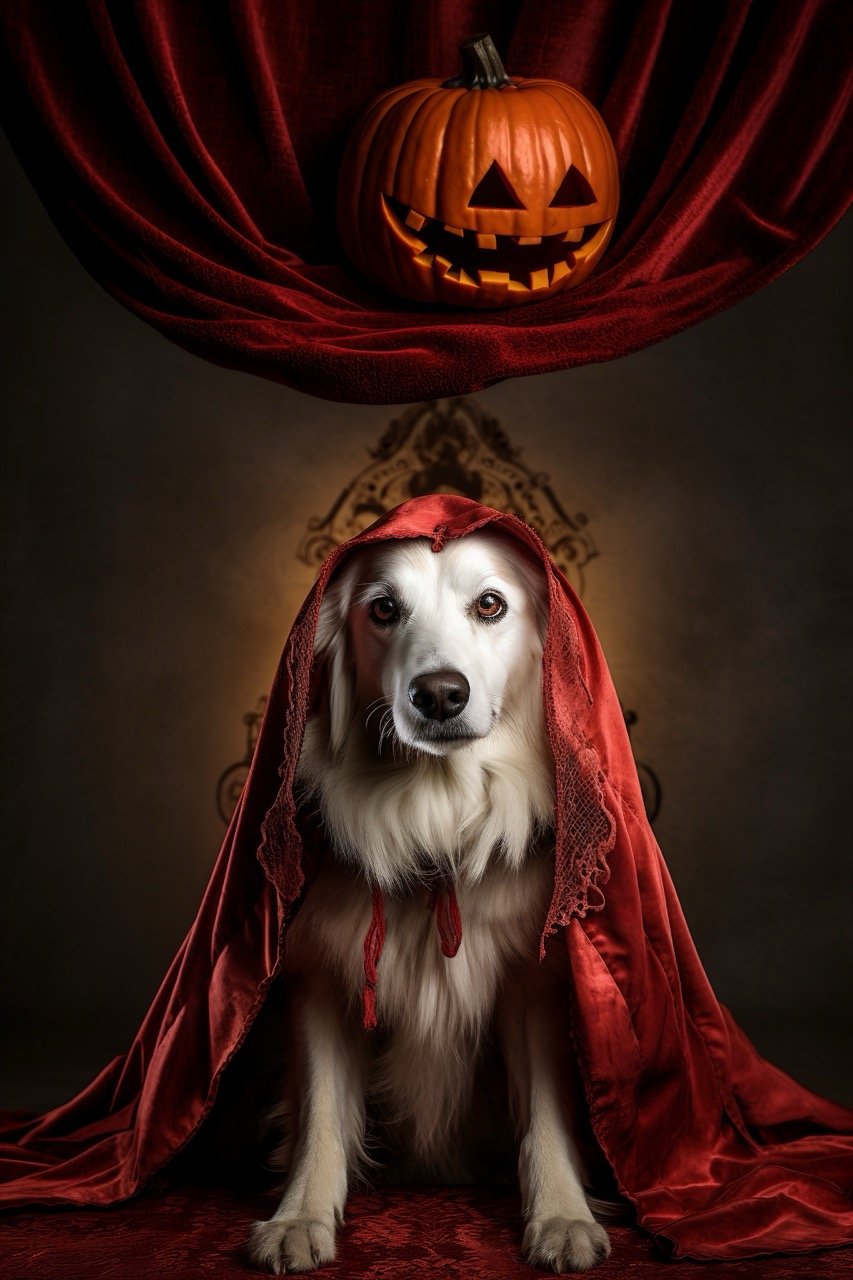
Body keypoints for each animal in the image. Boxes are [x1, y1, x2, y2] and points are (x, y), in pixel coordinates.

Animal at [245, 527, 612, 1269]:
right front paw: (300, 1216)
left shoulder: (531, 982)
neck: (435, 819)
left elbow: (545, 1114)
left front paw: (562, 1216)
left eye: (491, 604)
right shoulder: (322, 976)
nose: (438, 695)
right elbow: (321, 1116)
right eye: (384, 609)